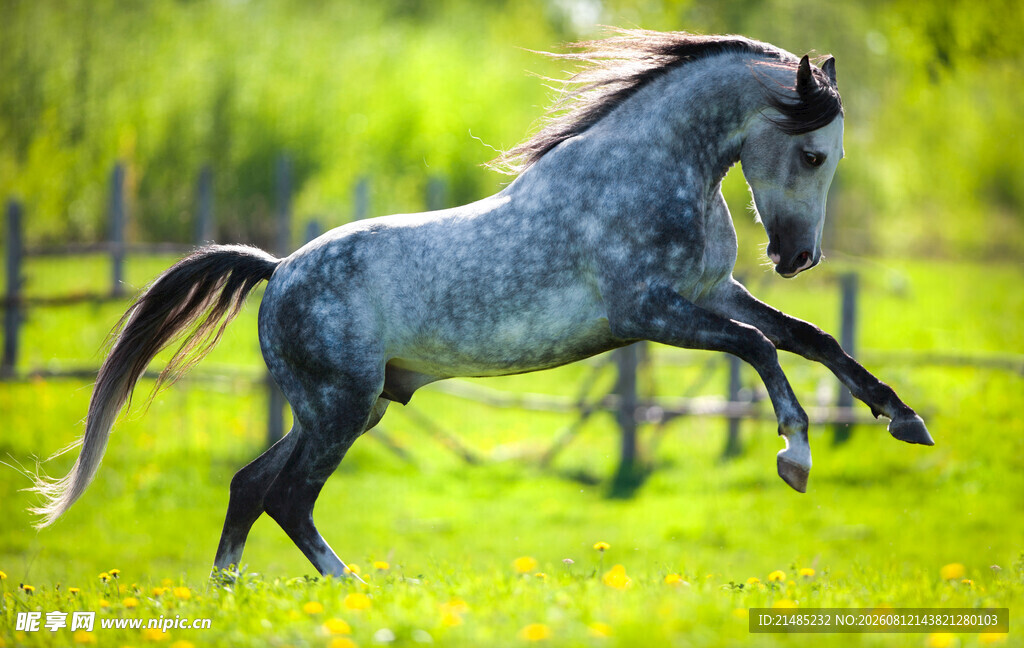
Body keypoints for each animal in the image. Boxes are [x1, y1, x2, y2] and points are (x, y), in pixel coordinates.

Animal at [30, 29, 933, 578]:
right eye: (813, 153)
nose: (796, 257)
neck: (652, 174)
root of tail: (279, 269)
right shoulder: (651, 315)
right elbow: (762, 349)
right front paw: (795, 456)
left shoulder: (713, 293)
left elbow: (812, 339)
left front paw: (905, 420)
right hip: (339, 409)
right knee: (286, 496)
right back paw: (349, 589)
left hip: (350, 408)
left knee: (251, 486)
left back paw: (236, 594)